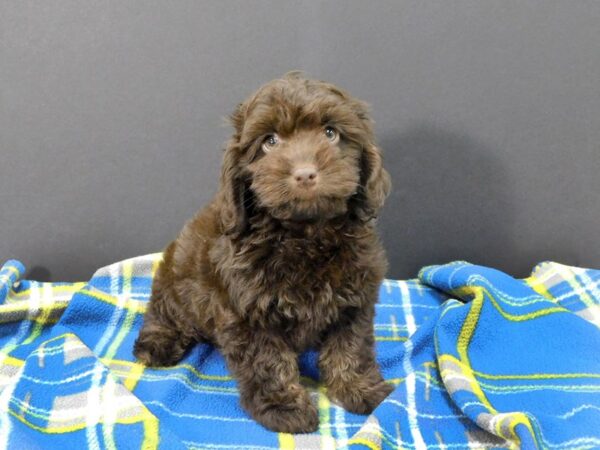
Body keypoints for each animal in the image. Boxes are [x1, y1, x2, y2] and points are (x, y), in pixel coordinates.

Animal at [133, 73, 392, 432]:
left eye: (330, 133)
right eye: (270, 142)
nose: (305, 173)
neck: (304, 236)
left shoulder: (355, 298)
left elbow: (351, 346)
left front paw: (359, 387)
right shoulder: (246, 311)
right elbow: (267, 360)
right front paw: (283, 405)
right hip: (174, 277)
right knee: (162, 311)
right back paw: (156, 343)